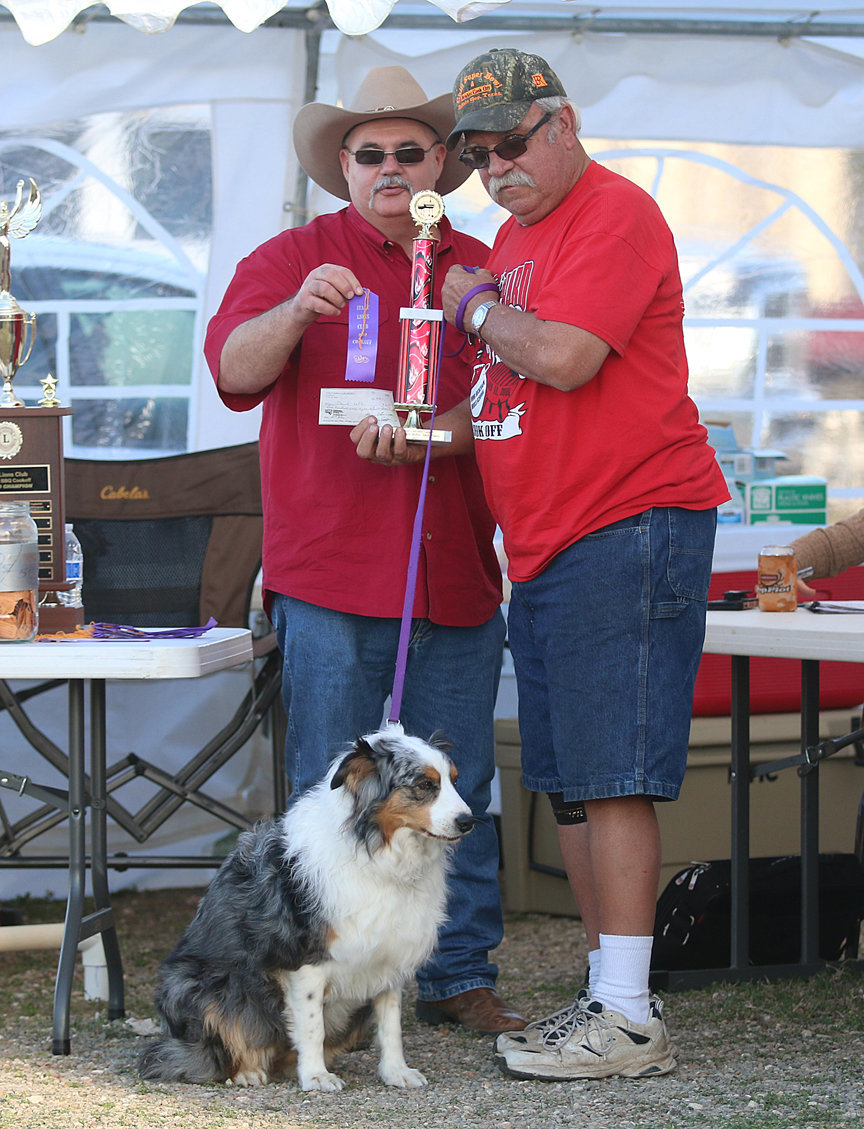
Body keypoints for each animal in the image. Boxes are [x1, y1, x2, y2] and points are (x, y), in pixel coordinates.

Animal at [138, 727, 472, 1088]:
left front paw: (396, 1071)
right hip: (197, 985)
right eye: (425, 785)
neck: (376, 854)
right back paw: (247, 1071)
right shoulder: (306, 960)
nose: (469, 821)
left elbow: (390, 1026)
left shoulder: (390, 954)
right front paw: (315, 1076)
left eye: (454, 780)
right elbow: (312, 1026)